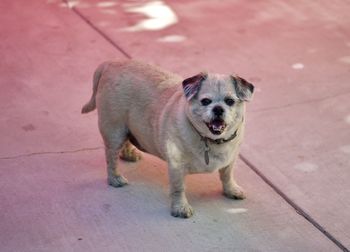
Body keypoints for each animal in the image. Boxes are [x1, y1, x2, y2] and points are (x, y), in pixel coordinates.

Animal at [83, 60, 256, 218]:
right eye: (205, 101)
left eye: (230, 101)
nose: (218, 109)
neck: (210, 140)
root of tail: (111, 63)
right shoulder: (176, 165)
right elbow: (178, 188)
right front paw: (180, 207)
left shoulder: (230, 160)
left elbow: (227, 176)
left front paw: (231, 190)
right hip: (115, 131)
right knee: (111, 158)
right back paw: (115, 178)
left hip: (126, 127)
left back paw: (129, 154)